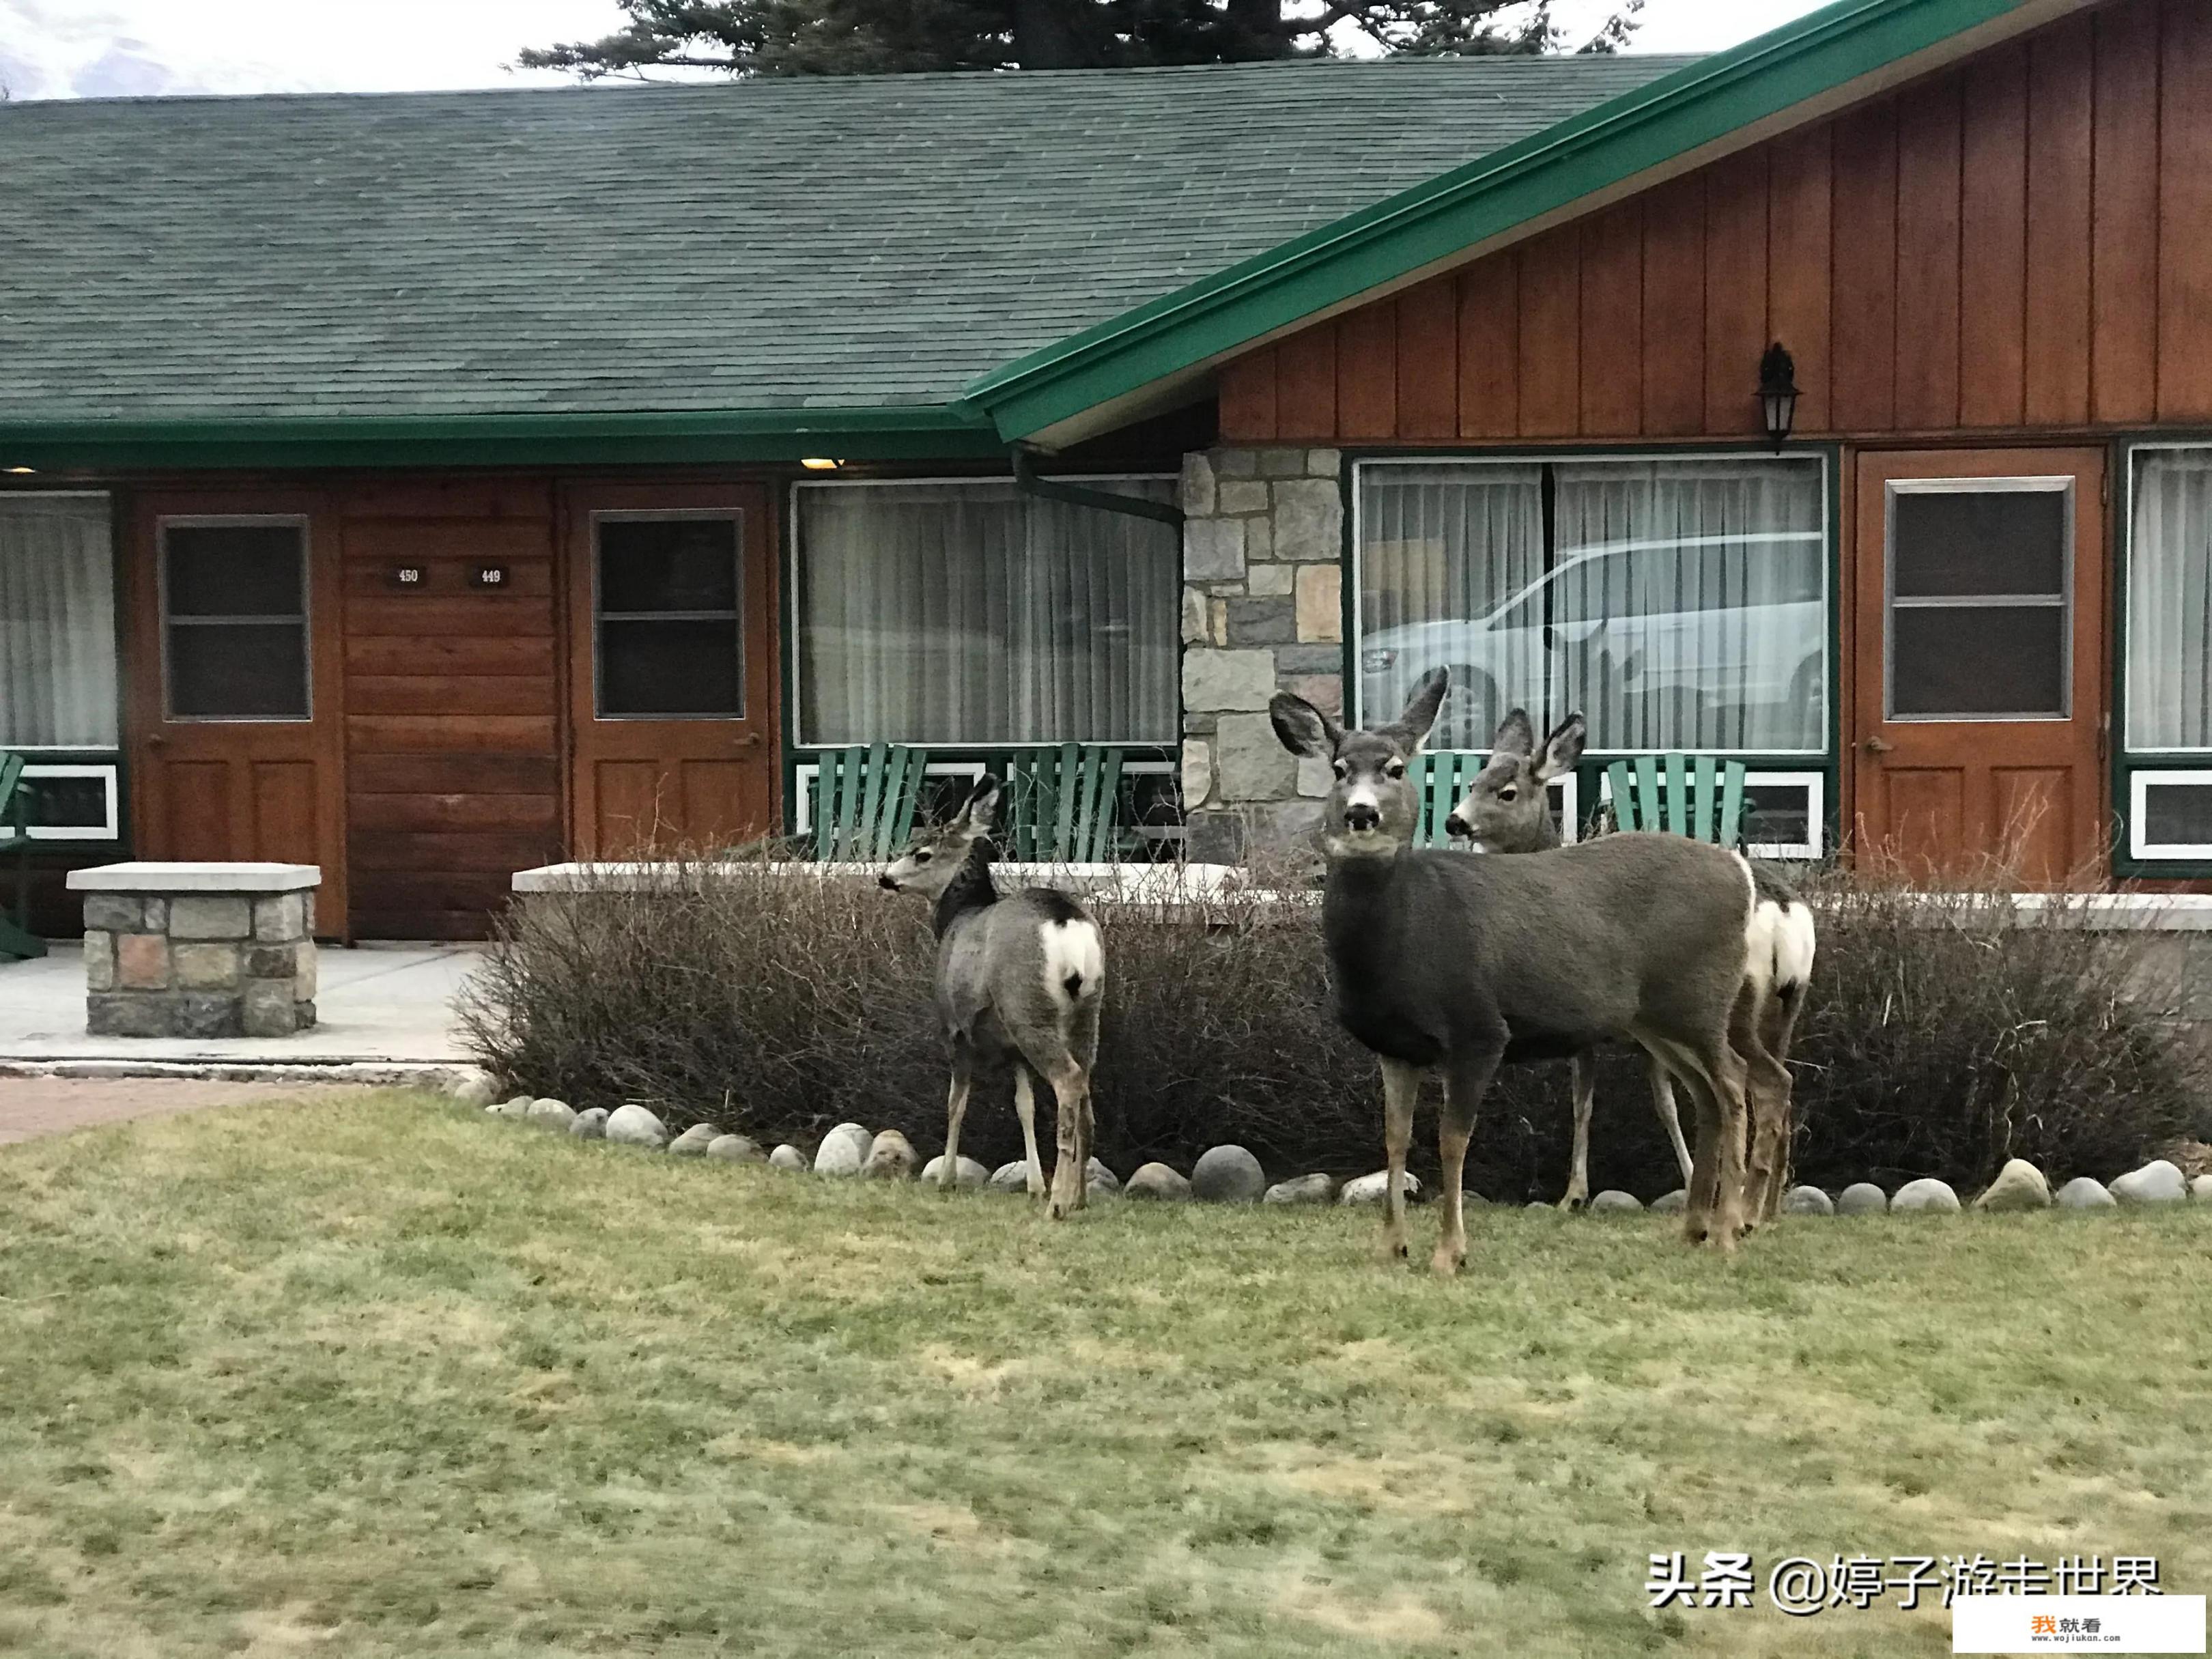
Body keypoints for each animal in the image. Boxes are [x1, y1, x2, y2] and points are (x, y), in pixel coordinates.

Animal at [880, 778, 1106, 1221]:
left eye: (921, 852)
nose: (885, 877)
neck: (956, 918)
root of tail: (1065, 922)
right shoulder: (1011, 1048)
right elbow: (1024, 1105)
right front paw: (1034, 1184)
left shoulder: (953, 1026)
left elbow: (956, 1101)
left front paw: (946, 1178)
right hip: (1087, 1010)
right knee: (1085, 1091)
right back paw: (1079, 1198)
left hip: (1027, 1007)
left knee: (1068, 1081)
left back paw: (1057, 1205)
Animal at [1265, 668, 1813, 1265]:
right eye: (1340, 770)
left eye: (1394, 768)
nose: (1361, 813)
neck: (1406, 935)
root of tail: (1744, 874)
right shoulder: (1395, 1044)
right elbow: (1395, 1138)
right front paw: (1393, 1245)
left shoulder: (1479, 1027)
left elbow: (1452, 1139)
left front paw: (1450, 1252)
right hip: (1659, 1021)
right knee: (1712, 1094)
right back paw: (1696, 1226)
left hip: (1702, 1002)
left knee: (1736, 1084)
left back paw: (1730, 1227)